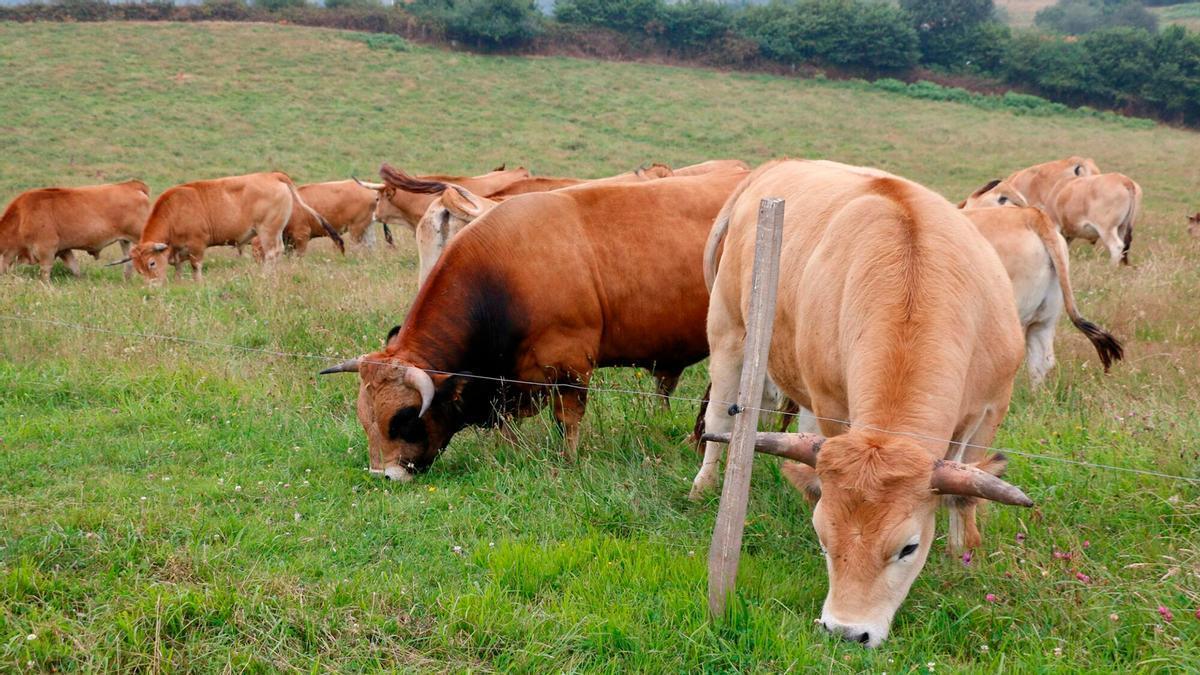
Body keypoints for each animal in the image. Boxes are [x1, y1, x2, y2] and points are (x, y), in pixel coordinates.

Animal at [0, 180, 151, 282]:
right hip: (125, 241)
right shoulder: (63, 250)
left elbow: (45, 273)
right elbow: (74, 268)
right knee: (129, 262)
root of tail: (130, 185)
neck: (20, 217)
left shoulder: (46, 249)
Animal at [116, 172, 340, 283]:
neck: (174, 211)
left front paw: (198, 283)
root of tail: (272, 175)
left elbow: (196, 266)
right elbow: (178, 267)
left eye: (152, 263)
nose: (152, 287)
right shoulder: (176, 250)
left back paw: (266, 276)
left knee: (272, 253)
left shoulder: (197, 245)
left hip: (268, 230)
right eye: (138, 268)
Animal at [250, 179, 381, 260]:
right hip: (367, 226)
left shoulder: (302, 236)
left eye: (261, 250)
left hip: (356, 228)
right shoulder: (289, 242)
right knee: (371, 244)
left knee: (357, 246)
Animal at [317, 170, 749, 481]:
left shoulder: (571, 366)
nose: (383, 475)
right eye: (365, 419)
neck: (505, 273)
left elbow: (567, 420)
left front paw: (568, 460)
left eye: (404, 420)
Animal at [694, 159, 1032, 647]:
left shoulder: (991, 408)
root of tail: (774, 167)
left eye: (908, 548)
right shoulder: (834, 405)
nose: (847, 631)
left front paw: (962, 555)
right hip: (728, 331)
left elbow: (966, 494)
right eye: (823, 539)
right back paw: (704, 484)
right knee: (720, 416)